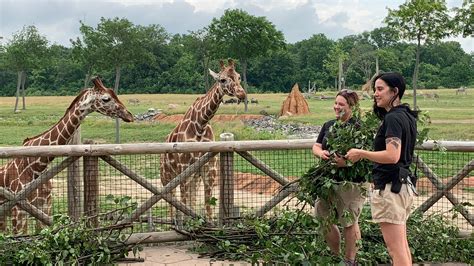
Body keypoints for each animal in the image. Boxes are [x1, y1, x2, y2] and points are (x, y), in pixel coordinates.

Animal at [160, 58, 246, 220]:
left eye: (239, 77)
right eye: (222, 79)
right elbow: (183, 206)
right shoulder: (184, 170)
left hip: (195, 178)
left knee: (190, 201)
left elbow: (207, 207)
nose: (242, 94)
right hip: (167, 177)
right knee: (171, 205)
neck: (201, 125)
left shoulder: (209, 171)